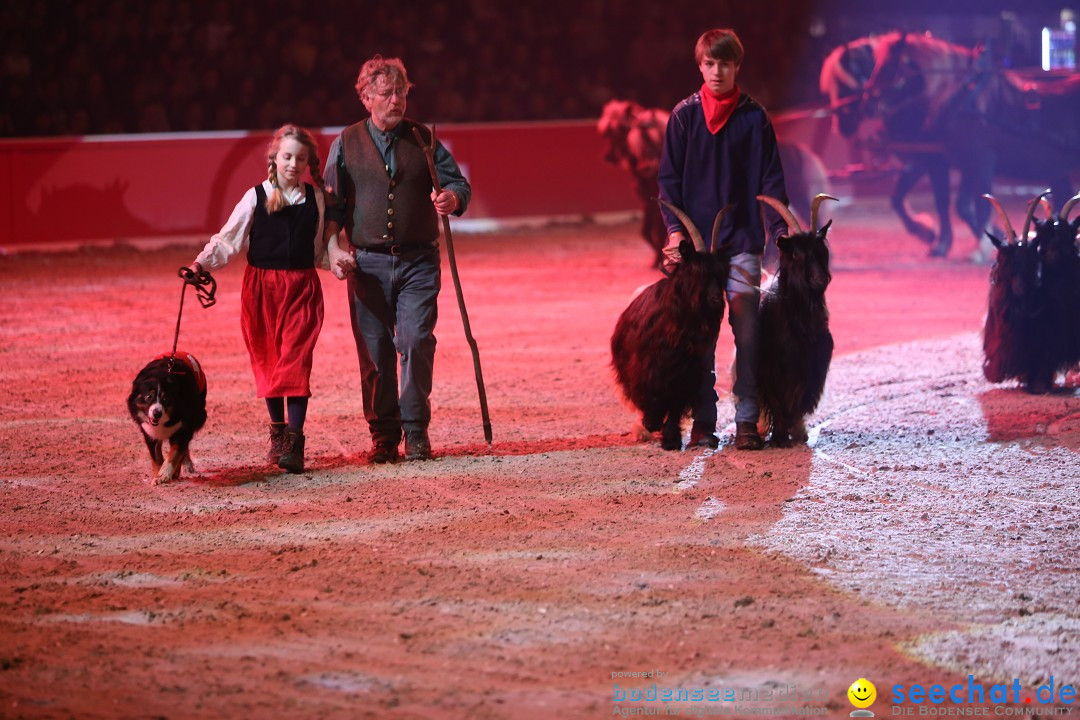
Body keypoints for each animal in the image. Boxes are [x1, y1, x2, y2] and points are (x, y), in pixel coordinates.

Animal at [613, 202, 730, 451]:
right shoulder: (648, 366)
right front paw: (652, 423)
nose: (716, 299)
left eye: (722, 274)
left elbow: (675, 403)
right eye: (696, 272)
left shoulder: (686, 371)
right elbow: (652, 396)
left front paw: (671, 438)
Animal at [751, 194, 833, 446]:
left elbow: (795, 397)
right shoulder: (771, 366)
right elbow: (777, 399)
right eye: (796, 254)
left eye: (821, 252)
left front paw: (795, 432)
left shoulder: (807, 363)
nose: (820, 279)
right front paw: (779, 437)